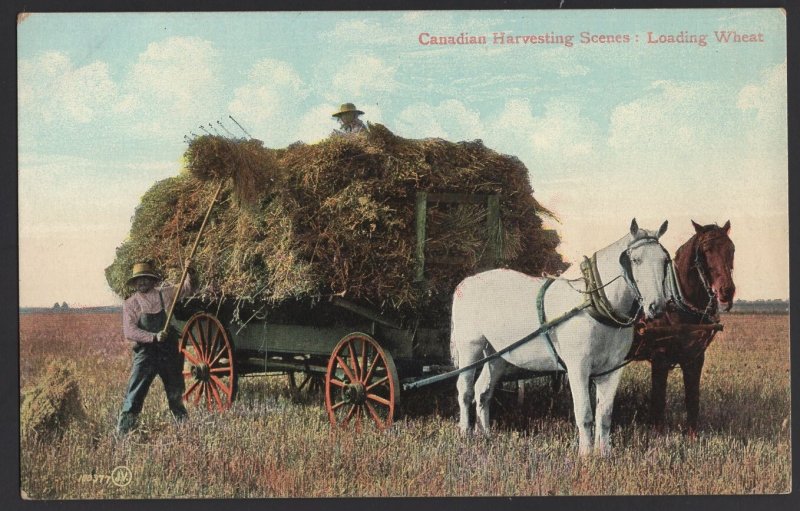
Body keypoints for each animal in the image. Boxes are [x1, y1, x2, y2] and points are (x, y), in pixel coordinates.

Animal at [454, 219, 672, 456]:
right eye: (635, 260)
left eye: (664, 260)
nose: (657, 307)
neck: (593, 304)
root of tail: (466, 282)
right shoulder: (578, 368)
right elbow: (585, 414)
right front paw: (586, 456)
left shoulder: (611, 371)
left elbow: (604, 416)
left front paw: (604, 455)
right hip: (470, 347)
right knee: (465, 390)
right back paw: (465, 435)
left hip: (496, 354)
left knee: (483, 391)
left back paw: (485, 435)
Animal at [628, 222, 736, 434]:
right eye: (706, 250)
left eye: (731, 249)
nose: (727, 291)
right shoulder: (659, 357)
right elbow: (658, 400)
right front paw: (657, 433)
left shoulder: (695, 357)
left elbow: (692, 398)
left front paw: (692, 434)